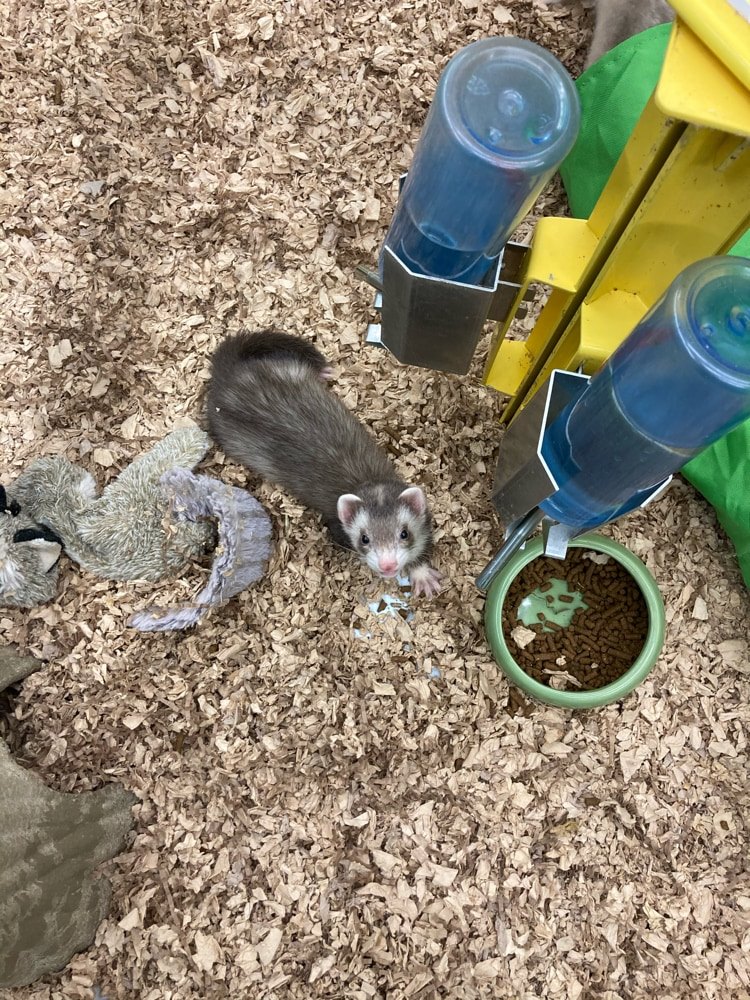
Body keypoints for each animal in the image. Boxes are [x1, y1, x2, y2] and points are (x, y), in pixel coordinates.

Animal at [206, 330, 442, 597]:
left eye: (404, 533)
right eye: (364, 538)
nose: (388, 565)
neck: (367, 478)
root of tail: (229, 375)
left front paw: (422, 574)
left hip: (288, 368)